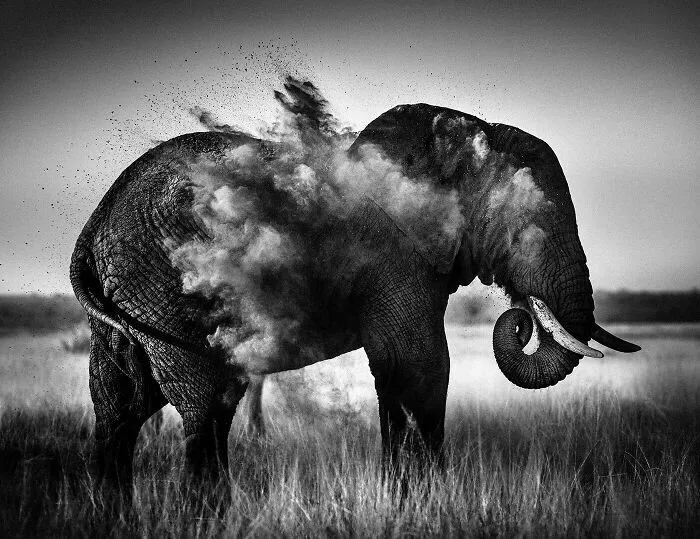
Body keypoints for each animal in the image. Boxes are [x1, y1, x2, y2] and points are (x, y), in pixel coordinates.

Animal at [71, 86, 639, 497]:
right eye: (531, 223)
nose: (519, 317)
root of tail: (94, 224)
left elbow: (398, 372)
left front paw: (403, 498)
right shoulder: (395, 256)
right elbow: (420, 366)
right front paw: (424, 500)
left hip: (131, 301)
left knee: (120, 406)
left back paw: (113, 511)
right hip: (167, 287)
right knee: (206, 404)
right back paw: (210, 513)